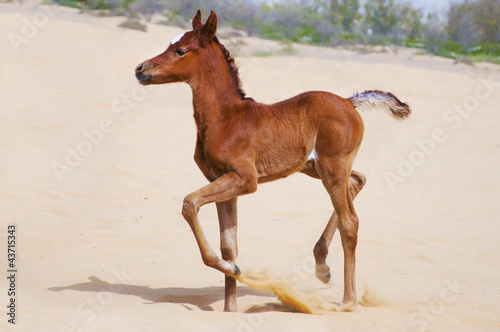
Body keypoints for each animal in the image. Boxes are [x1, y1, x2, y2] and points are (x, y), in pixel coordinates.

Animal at [134, 9, 410, 312]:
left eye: (181, 50)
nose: (141, 68)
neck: (226, 118)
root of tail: (350, 102)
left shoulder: (245, 180)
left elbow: (189, 204)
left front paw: (234, 271)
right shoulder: (223, 182)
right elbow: (229, 245)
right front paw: (230, 305)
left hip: (331, 167)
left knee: (350, 221)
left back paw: (347, 300)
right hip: (315, 167)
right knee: (357, 181)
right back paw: (322, 265)